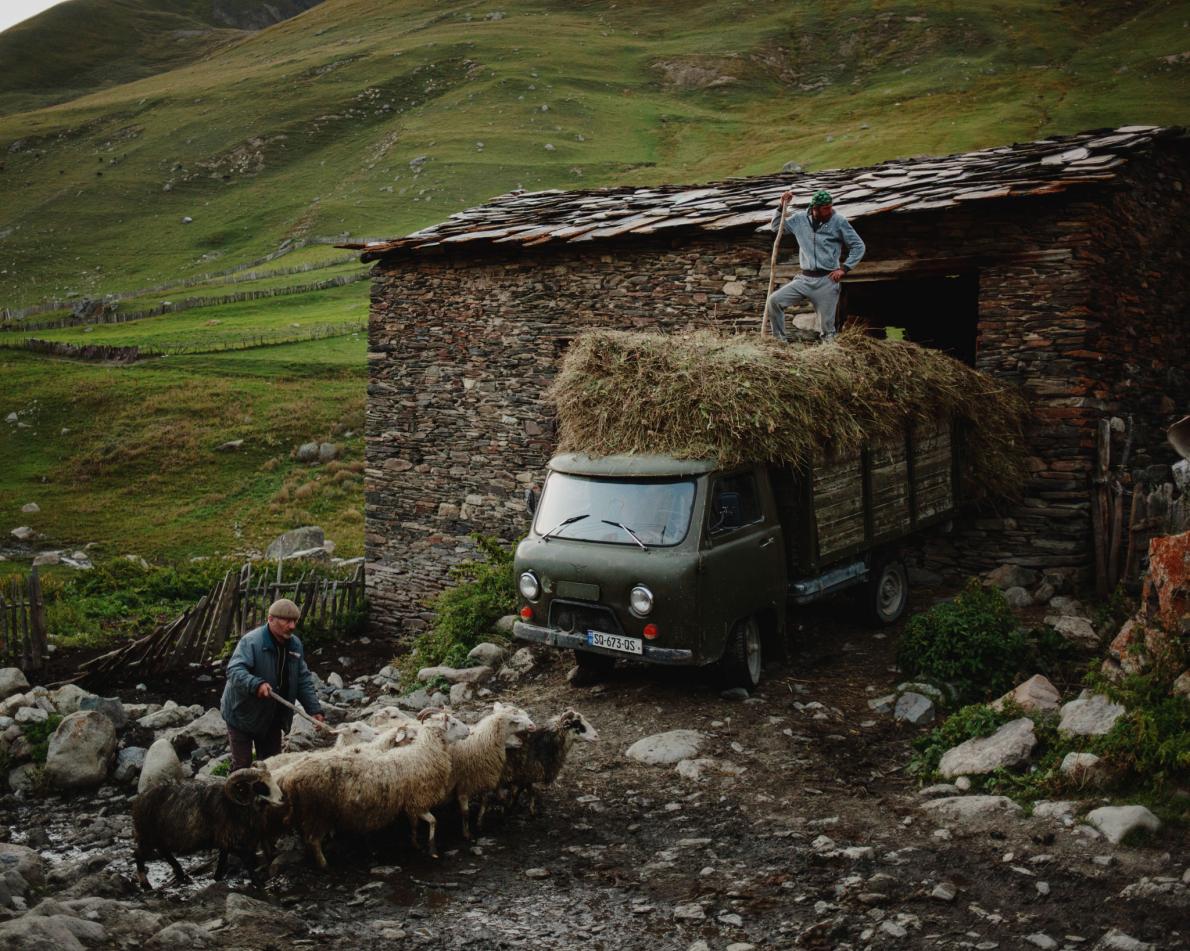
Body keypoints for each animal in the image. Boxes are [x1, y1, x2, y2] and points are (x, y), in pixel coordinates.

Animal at [133, 761, 282, 890]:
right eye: (259, 785)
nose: (282, 798)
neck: (234, 804)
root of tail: (140, 799)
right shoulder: (230, 840)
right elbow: (245, 857)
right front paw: (259, 883)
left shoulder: (225, 840)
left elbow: (222, 860)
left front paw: (217, 878)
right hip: (147, 835)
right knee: (139, 854)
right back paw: (146, 884)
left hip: (160, 837)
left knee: (164, 852)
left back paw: (182, 875)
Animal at [278, 704, 468, 871]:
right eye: (452, 723)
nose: (468, 731)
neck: (425, 751)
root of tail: (290, 778)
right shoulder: (419, 800)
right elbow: (433, 821)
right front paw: (432, 850)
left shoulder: (411, 802)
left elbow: (414, 823)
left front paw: (415, 842)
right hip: (318, 811)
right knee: (313, 840)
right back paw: (324, 865)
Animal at [445, 699, 537, 842]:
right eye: (514, 721)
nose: (533, 725)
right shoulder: (464, 784)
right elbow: (466, 811)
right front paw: (467, 834)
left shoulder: (487, 777)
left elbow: (489, 801)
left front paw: (481, 823)